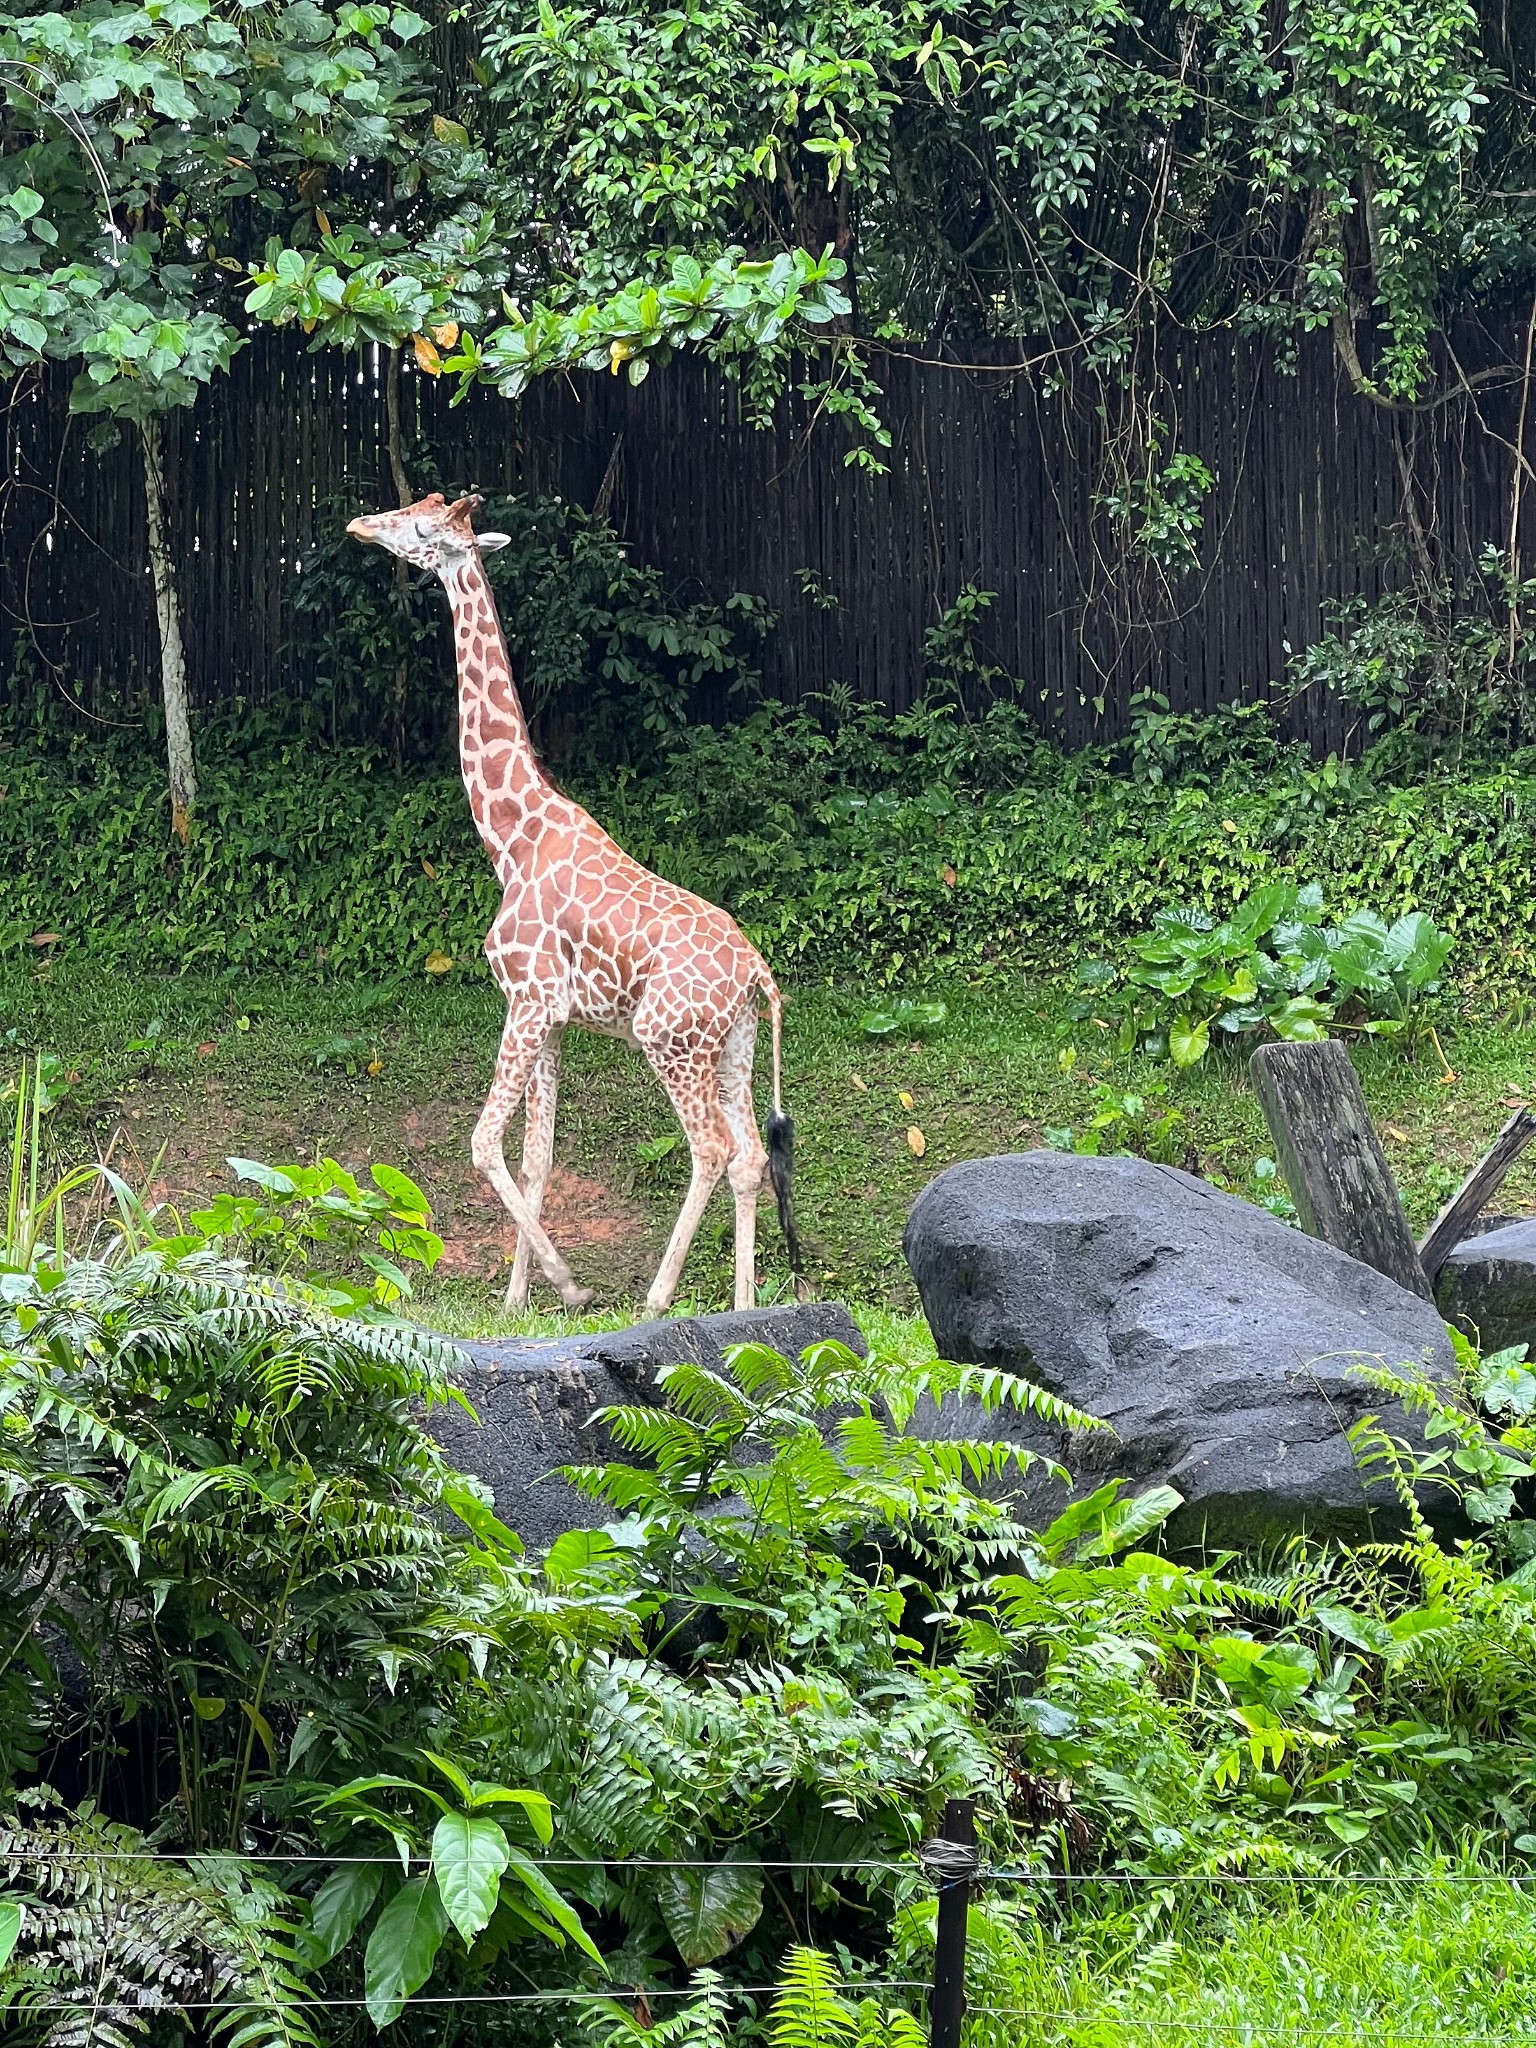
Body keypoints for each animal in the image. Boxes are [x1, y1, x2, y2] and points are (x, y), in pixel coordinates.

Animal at [350, 491, 806, 1310]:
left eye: (421, 527)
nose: (360, 526)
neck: (512, 834)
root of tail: (758, 973)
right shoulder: (555, 1018)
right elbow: (538, 1155)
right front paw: (515, 1301)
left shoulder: (526, 999)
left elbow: (482, 1143)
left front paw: (568, 1289)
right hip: (735, 1045)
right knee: (751, 1153)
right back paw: (744, 1304)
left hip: (669, 1040)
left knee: (711, 1147)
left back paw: (658, 1298)